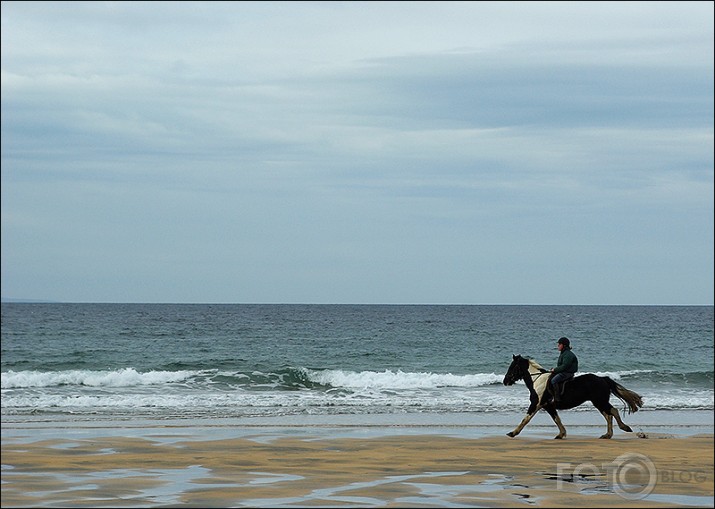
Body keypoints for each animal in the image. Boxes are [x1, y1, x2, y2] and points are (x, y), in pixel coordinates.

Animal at [500, 354, 648, 436]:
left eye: (512, 367)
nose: (505, 381)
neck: (537, 380)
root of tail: (603, 379)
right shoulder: (548, 406)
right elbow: (556, 419)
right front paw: (561, 434)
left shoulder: (536, 404)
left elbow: (526, 419)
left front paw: (513, 433)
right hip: (598, 402)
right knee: (608, 414)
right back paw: (607, 434)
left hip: (599, 401)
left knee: (612, 411)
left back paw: (624, 428)